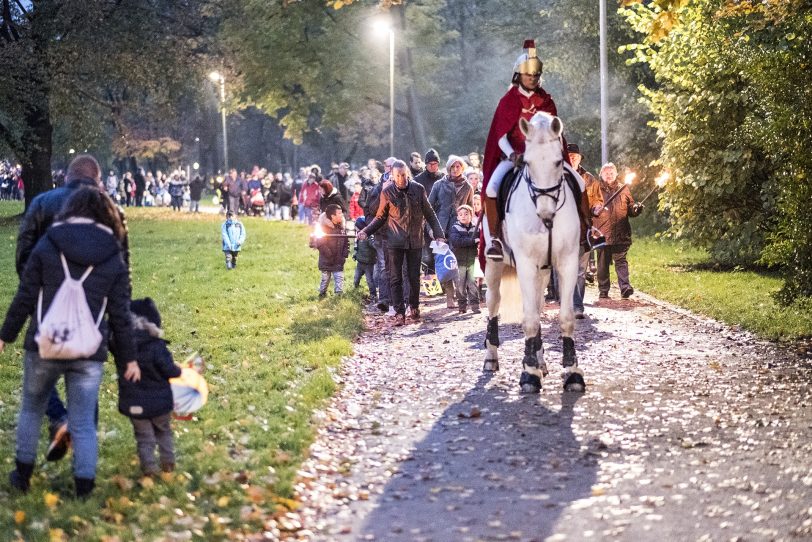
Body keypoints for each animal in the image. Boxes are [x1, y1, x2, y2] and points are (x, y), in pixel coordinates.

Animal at [482, 112, 584, 394]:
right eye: (526, 162)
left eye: (559, 161)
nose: (545, 213)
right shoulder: (526, 265)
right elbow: (529, 319)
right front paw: (528, 374)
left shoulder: (567, 262)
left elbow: (565, 317)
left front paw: (572, 372)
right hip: (493, 265)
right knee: (493, 303)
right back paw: (491, 358)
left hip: (544, 272)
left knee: (538, 306)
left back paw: (541, 362)